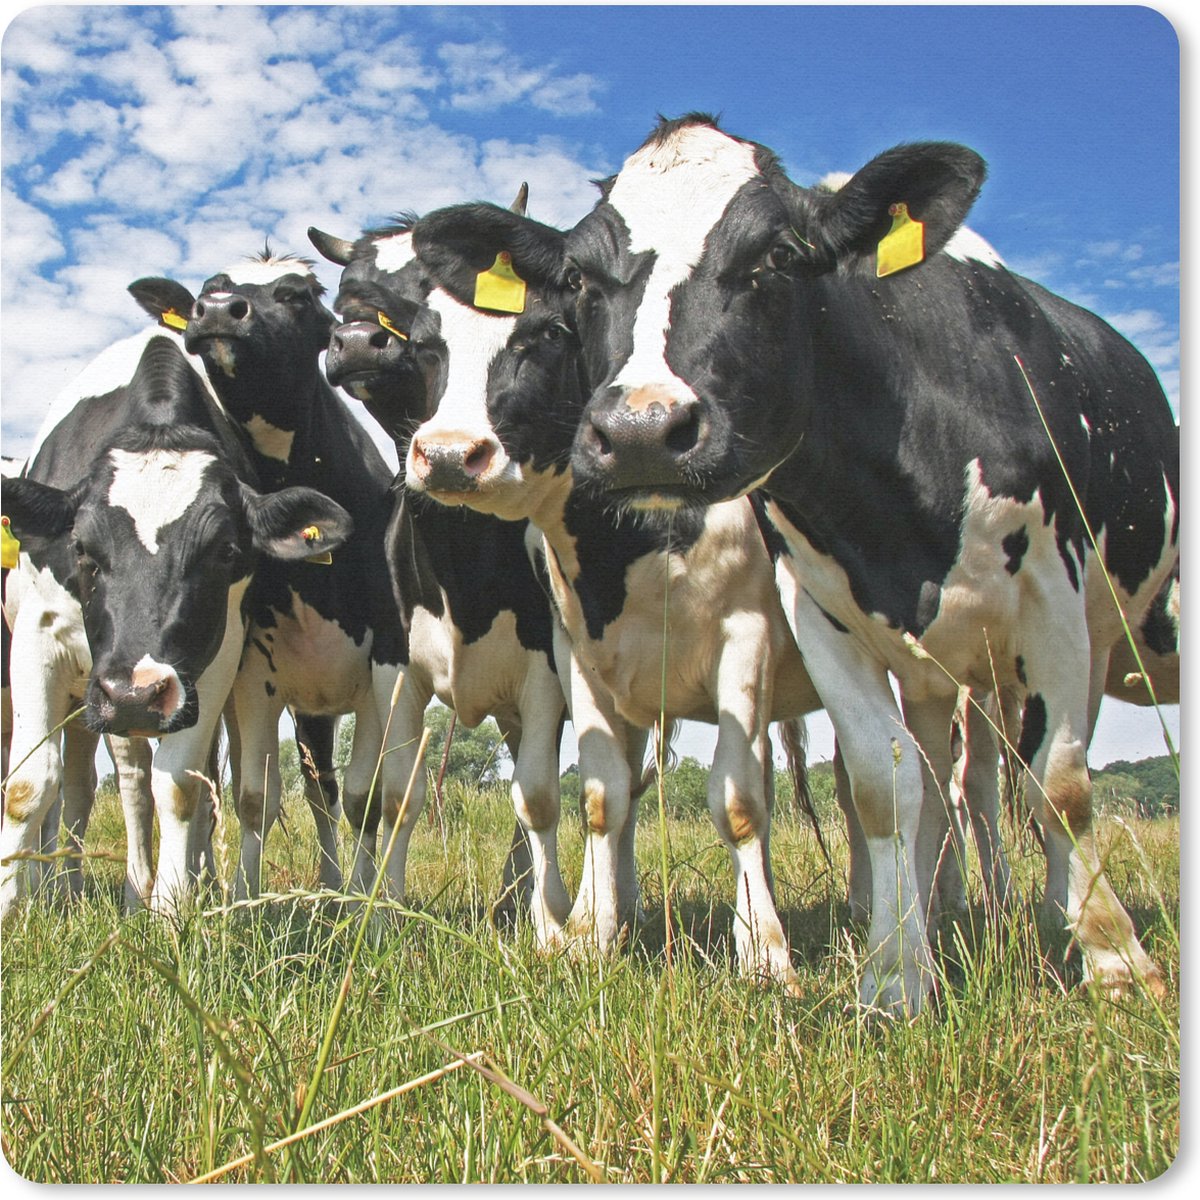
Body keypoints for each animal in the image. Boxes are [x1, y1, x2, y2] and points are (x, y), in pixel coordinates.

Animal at [1, 333, 352, 919]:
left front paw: (170, 909)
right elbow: (27, 785)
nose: (136, 694)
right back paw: (85, 890)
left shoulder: (215, 659)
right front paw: (10, 907)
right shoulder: (37, 636)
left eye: (226, 551)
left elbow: (182, 785)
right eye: (82, 549)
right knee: (110, 781)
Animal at [311, 200, 826, 989]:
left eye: (548, 334)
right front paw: (387, 921)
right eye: (422, 339)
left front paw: (556, 927)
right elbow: (398, 797)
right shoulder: (405, 672)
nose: (450, 453)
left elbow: (547, 796)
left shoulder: (581, 669)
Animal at [564, 115, 1178, 1013]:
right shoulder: (822, 613)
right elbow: (886, 792)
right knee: (936, 785)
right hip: (934, 674)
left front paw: (1115, 958)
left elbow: (1060, 785)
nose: (642, 430)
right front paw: (896, 973)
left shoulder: (1051, 598)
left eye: (780, 256)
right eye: (578, 276)